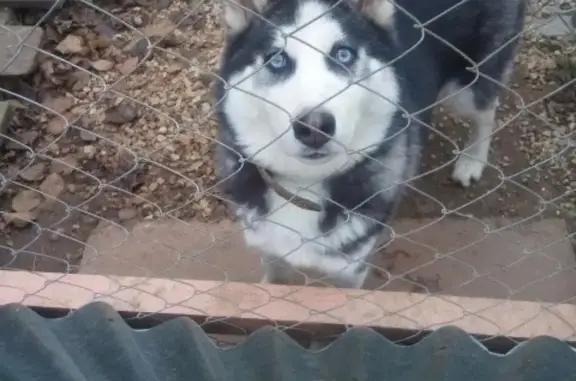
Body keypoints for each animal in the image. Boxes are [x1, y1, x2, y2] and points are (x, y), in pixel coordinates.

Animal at [215, 0, 528, 286]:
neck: (305, 185)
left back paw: (472, 160)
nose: (314, 128)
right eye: (276, 60)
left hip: (468, 84)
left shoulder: (350, 271)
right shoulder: (271, 251)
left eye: (344, 54)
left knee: (486, 112)